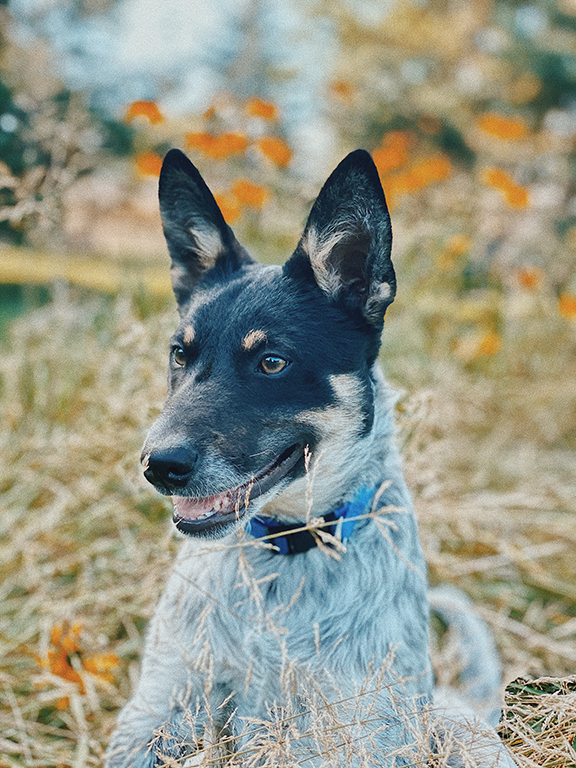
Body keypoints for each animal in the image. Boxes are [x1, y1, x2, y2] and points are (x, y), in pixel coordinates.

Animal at [106, 150, 516, 768]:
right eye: (180, 354)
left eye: (272, 362)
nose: (159, 466)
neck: (285, 553)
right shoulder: (157, 710)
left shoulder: (351, 731)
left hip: (456, 729)